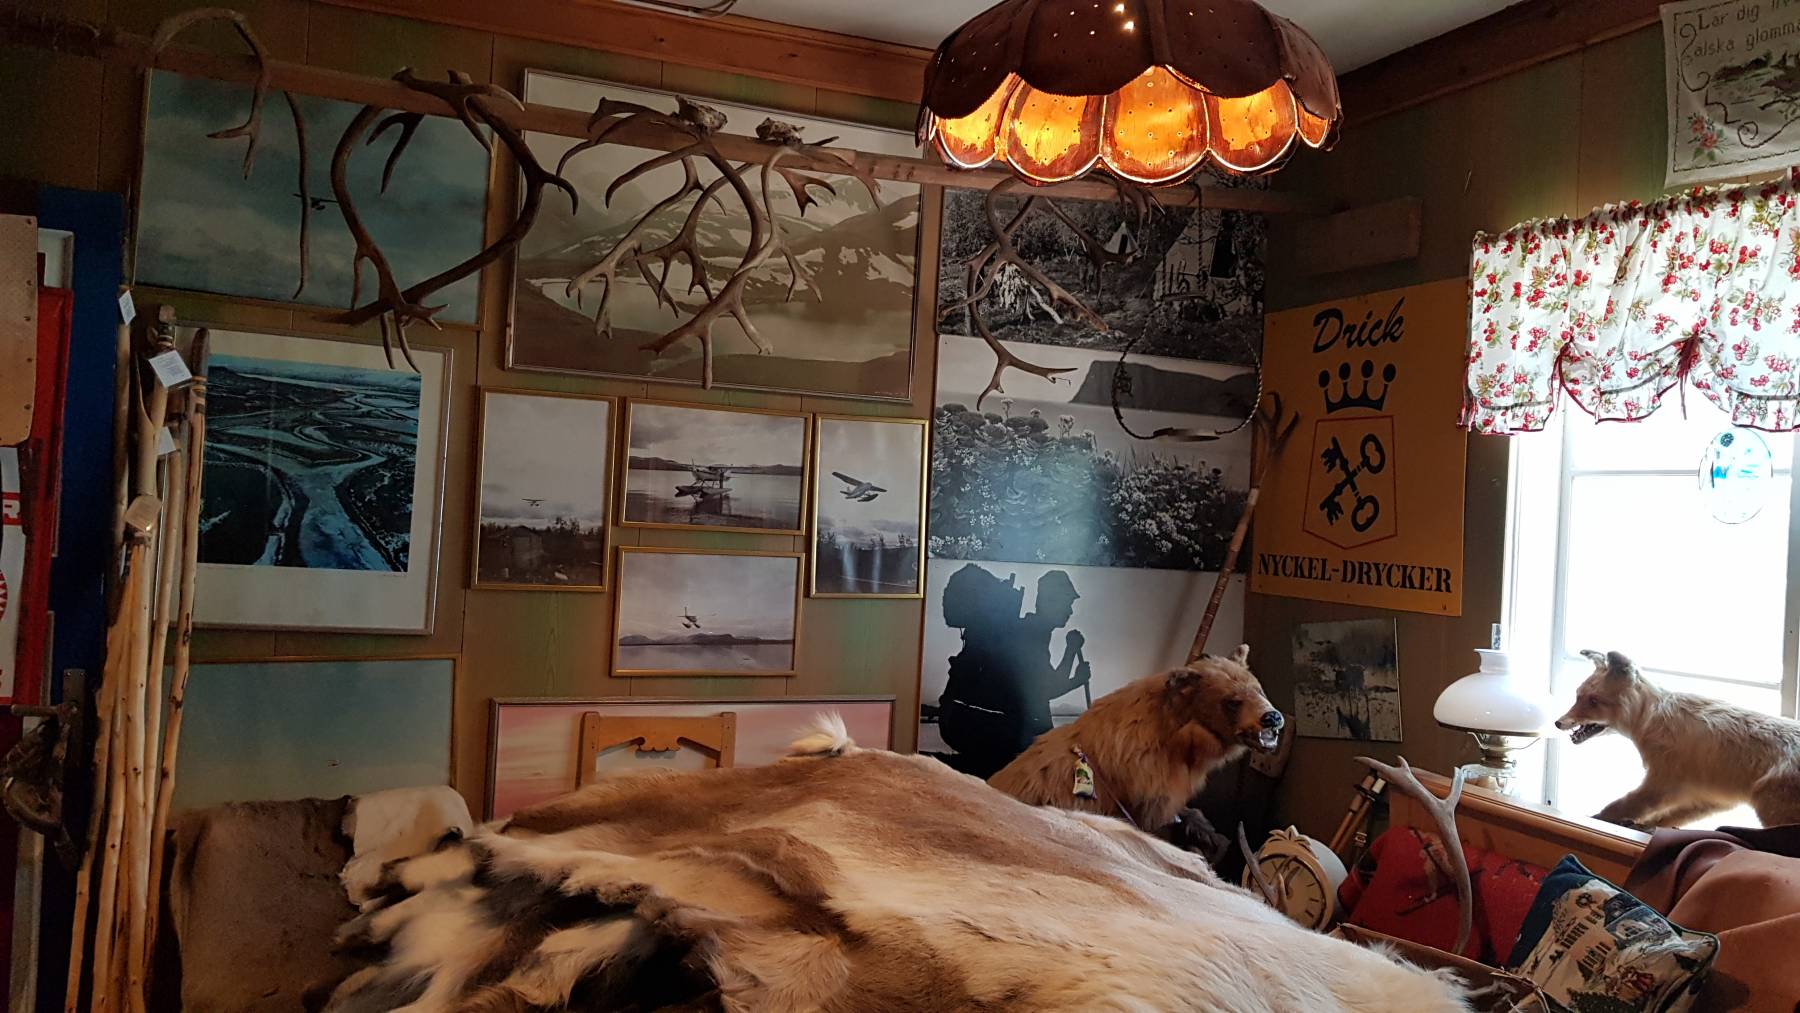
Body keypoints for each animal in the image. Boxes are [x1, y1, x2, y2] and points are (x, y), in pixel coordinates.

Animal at [1555, 649, 1800, 828]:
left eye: (1593, 701)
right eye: (1577, 696)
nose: (1558, 722)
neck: (1652, 719)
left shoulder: (1661, 784)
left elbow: (1616, 808)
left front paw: (1597, 820)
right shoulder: (1708, 798)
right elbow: (1664, 819)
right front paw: (1640, 827)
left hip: (1772, 812)